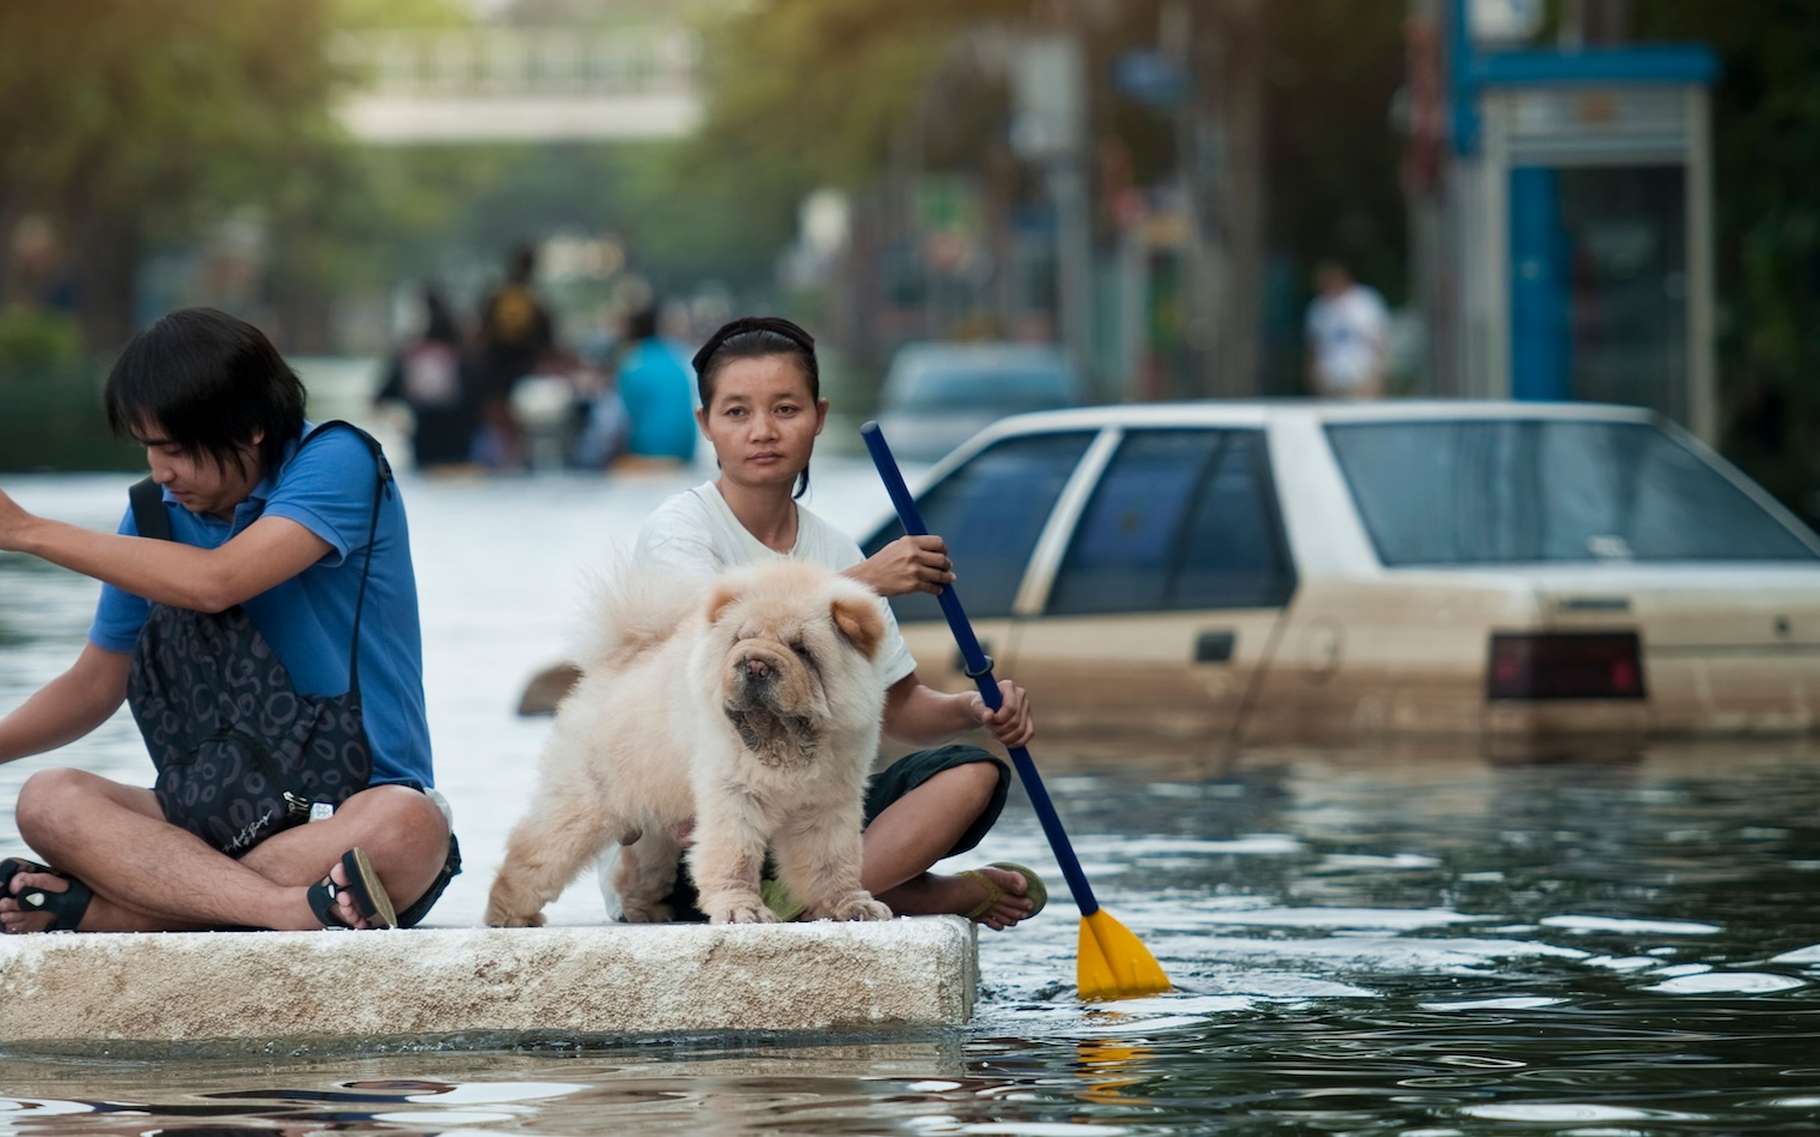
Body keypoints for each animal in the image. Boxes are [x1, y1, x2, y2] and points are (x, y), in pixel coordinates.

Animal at [487, 556, 891, 924]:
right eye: (741, 639)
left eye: (801, 648)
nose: (755, 664)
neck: (784, 741)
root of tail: (617, 661)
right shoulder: (733, 794)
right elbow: (734, 855)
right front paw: (741, 910)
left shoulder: (828, 803)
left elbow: (832, 861)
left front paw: (852, 906)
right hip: (581, 807)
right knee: (533, 852)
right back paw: (508, 915)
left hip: (654, 816)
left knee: (636, 869)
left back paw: (647, 911)